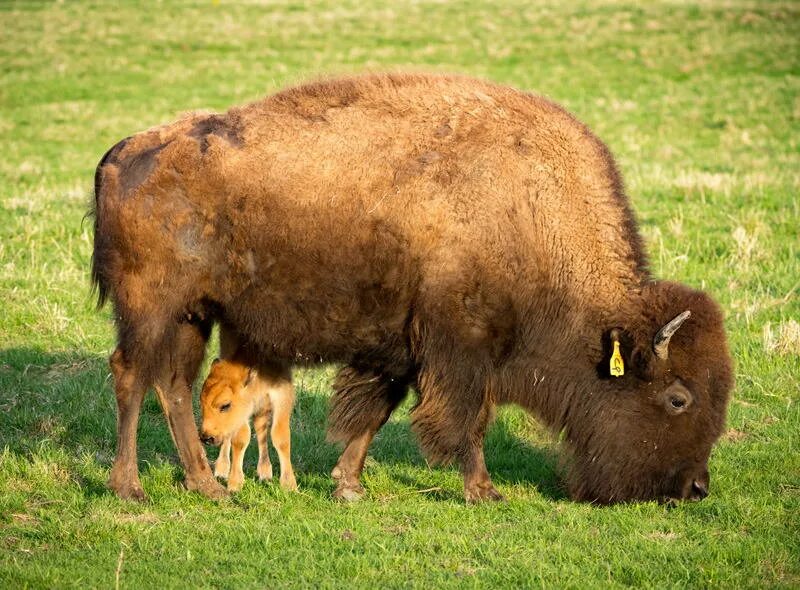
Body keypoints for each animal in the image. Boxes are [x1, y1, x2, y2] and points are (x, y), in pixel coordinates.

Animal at [90, 73, 736, 504]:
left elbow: (374, 412)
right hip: (151, 309)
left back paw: (207, 486)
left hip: (192, 315)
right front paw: (483, 490)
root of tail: (121, 152)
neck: (531, 214)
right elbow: (465, 420)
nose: (696, 487)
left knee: (174, 385)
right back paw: (130, 488)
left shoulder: (400, 348)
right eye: (678, 398)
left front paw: (347, 484)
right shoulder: (461, 352)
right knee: (131, 376)